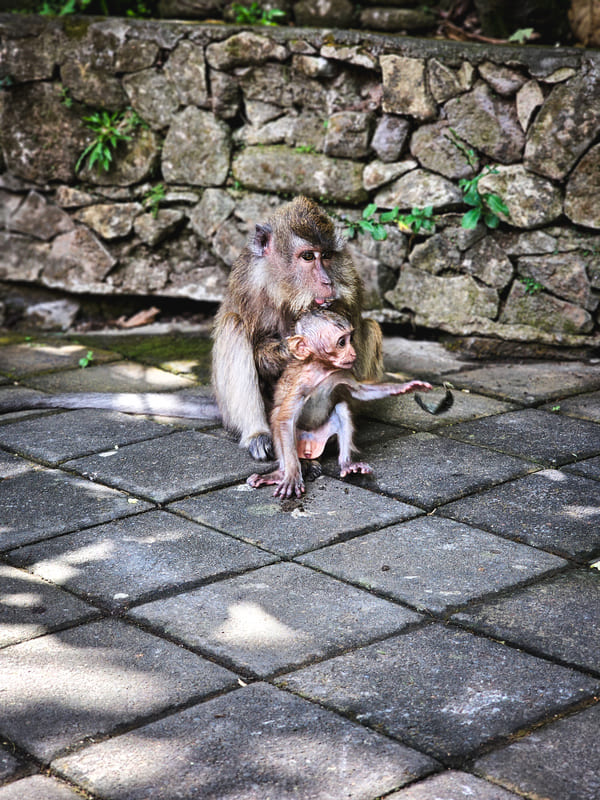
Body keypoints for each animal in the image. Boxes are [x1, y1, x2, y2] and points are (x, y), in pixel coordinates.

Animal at [211, 196, 384, 462]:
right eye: (308, 257)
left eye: (326, 255)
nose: (327, 281)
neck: (287, 292)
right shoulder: (248, 284)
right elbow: (259, 345)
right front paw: (289, 350)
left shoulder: (349, 279)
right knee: (234, 324)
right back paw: (257, 435)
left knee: (371, 326)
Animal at [247, 309, 432, 498]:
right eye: (342, 342)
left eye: (351, 339)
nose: (353, 352)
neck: (322, 370)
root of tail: (308, 447)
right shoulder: (301, 382)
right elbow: (285, 419)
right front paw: (292, 475)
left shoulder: (342, 372)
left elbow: (360, 390)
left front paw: (405, 387)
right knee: (278, 416)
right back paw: (279, 474)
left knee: (341, 408)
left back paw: (346, 464)